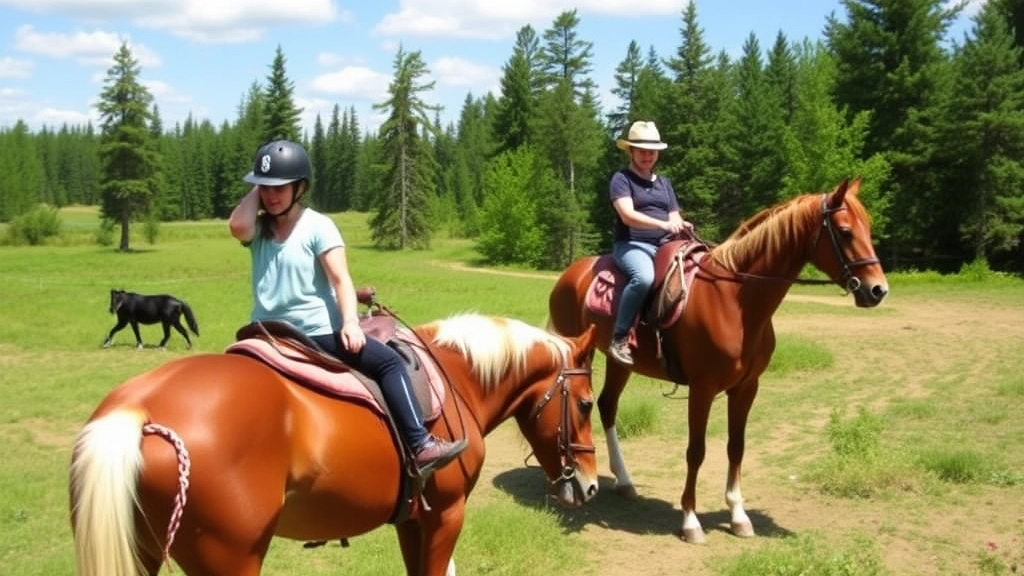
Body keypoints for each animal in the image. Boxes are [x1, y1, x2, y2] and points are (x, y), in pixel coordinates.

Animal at [70, 313, 598, 573]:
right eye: (587, 404)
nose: (591, 486)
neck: (457, 377)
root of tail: (138, 409)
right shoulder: (447, 514)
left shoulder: (415, 520)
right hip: (230, 557)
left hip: (142, 549)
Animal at [548, 177, 892, 541]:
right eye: (844, 231)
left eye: (867, 226)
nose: (877, 290)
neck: (735, 300)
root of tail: (570, 274)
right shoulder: (703, 389)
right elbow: (696, 451)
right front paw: (690, 520)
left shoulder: (746, 388)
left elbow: (736, 446)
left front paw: (739, 515)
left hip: (619, 363)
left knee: (608, 405)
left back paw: (625, 482)